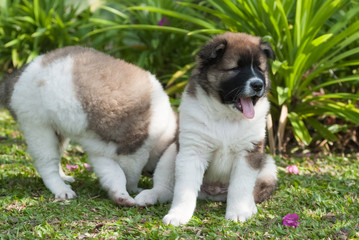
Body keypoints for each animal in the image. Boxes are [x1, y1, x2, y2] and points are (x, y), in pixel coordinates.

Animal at [0, 46, 178, 205]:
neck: (163, 135)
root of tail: (14, 80)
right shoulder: (132, 154)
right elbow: (128, 176)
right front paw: (133, 191)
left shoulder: (101, 152)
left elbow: (113, 175)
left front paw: (120, 196)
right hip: (38, 127)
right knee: (47, 164)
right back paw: (61, 189)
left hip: (59, 131)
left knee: (57, 156)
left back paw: (64, 177)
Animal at [135, 31, 278, 225]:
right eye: (235, 69)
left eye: (260, 69)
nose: (258, 85)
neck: (226, 115)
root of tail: (213, 193)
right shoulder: (192, 151)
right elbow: (184, 190)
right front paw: (178, 215)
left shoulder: (249, 152)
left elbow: (240, 186)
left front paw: (239, 212)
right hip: (171, 153)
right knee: (166, 187)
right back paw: (150, 195)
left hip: (268, 165)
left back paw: (250, 206)